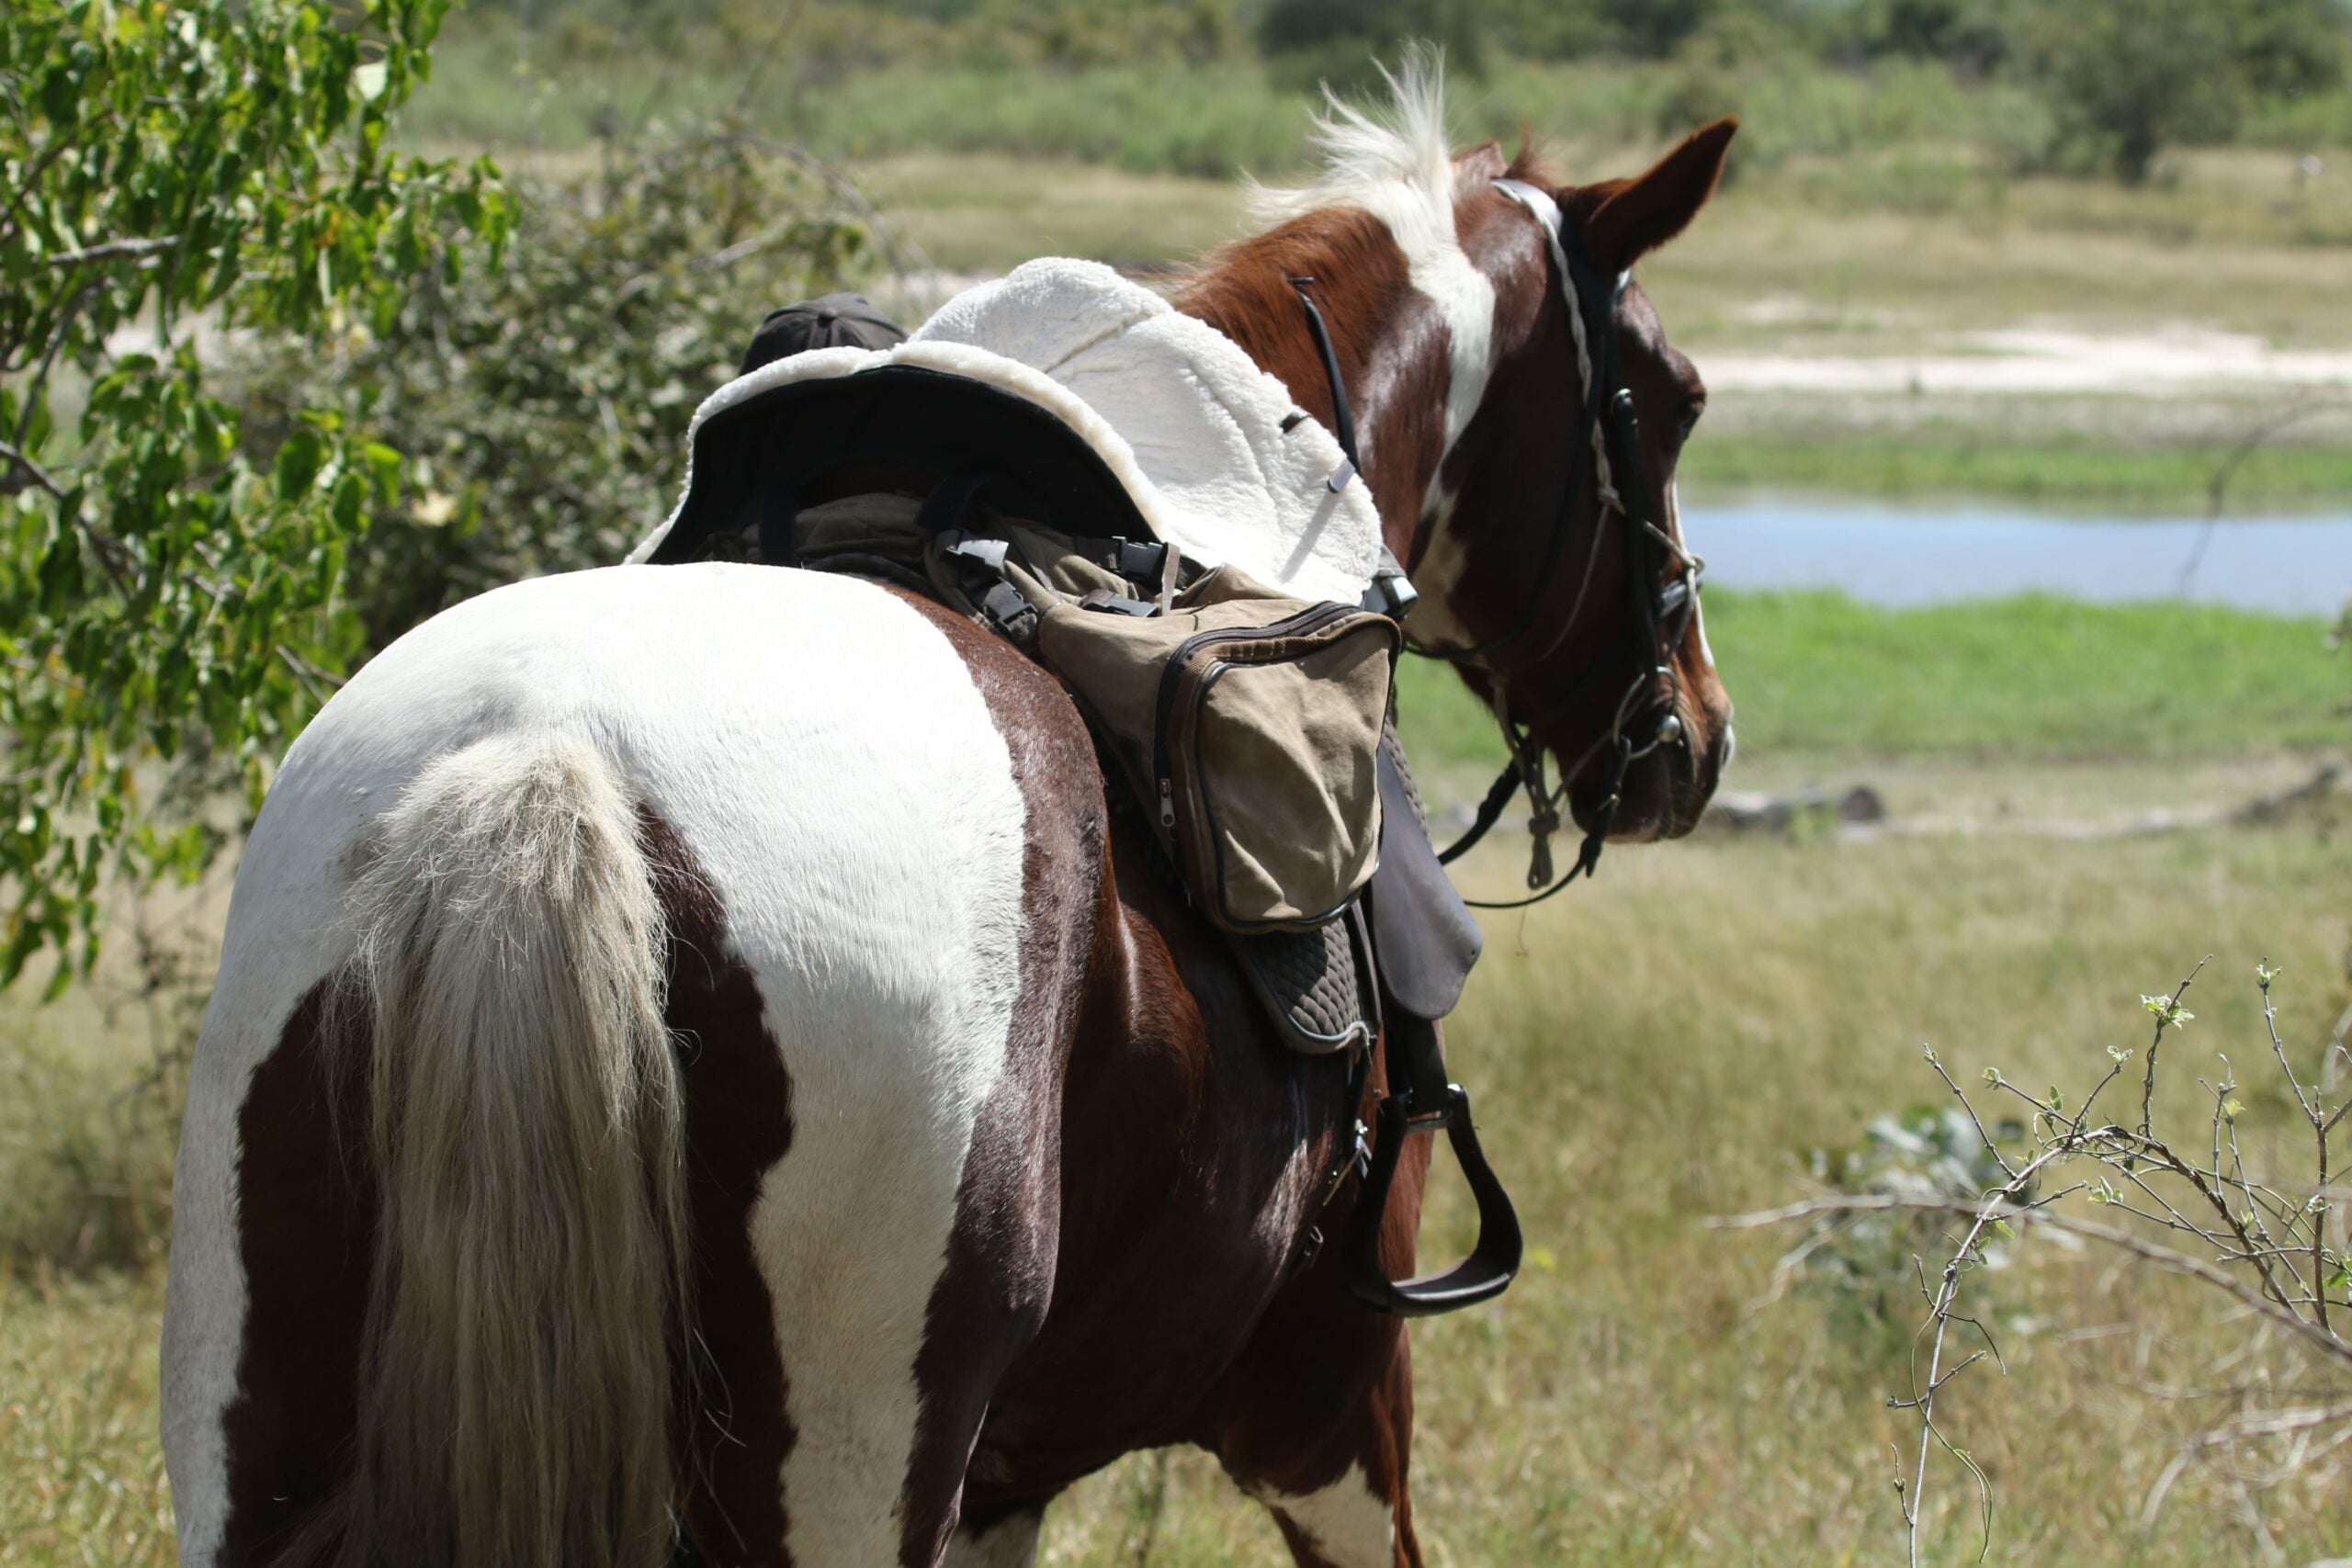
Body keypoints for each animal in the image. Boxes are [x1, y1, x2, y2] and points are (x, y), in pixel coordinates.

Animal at [160, 67, 1738, 1568]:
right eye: (1671, 399)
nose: (1694, 733)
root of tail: (545, 767)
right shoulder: (1337, 1408)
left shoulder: (1014, 1473)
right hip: (862, 1466)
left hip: (260, 1441)